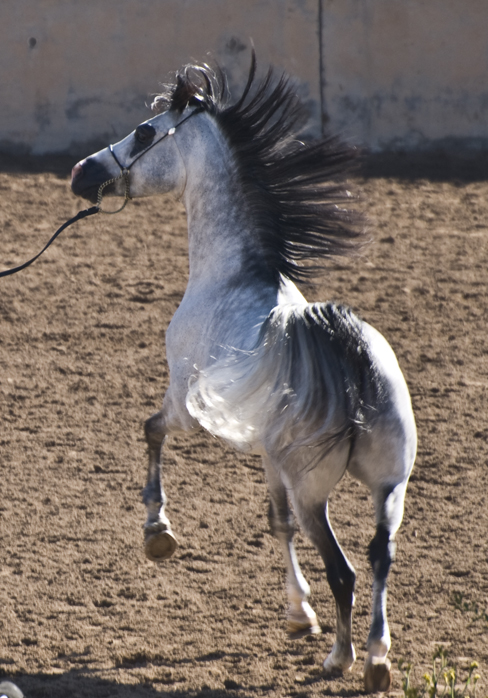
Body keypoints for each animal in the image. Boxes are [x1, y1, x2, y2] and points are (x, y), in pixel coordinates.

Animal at [71, 54, 416, 692]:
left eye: (144, 132)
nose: (83, 172)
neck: (229, 275)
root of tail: (354, 368)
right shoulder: (268, 455)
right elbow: (276, 523)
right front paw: (297, 613)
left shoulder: (186, 404)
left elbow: (150, 430)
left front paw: (158, 532)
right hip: (389, 486)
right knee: (380, 557)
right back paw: (378, 658)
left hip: (316, 490)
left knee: (346, 569)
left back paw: (342, 658)